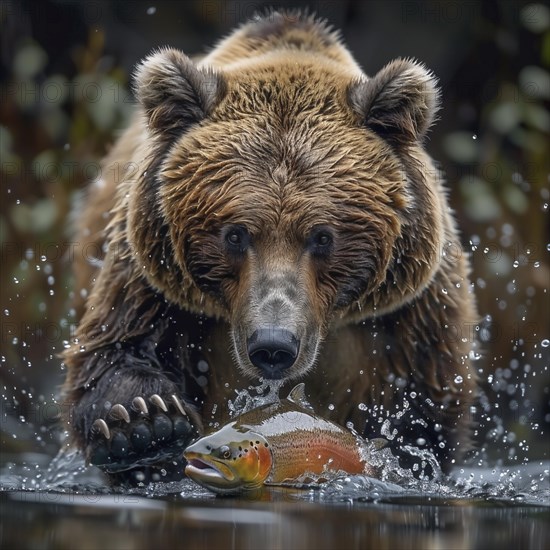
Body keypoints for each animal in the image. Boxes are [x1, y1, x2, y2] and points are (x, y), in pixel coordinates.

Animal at [63, 9, 478, 484]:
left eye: (322, 236)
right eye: (235, 234)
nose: (273, 345)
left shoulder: (409, 315)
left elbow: (423, 409)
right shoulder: (147, 279)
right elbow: (113, 347)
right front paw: (142, 419)